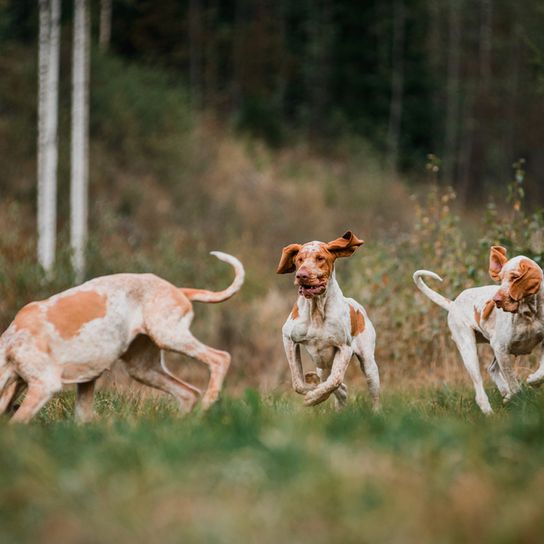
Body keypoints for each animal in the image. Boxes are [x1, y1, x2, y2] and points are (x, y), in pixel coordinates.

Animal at [0, 253, 244, 422]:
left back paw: (207, 405)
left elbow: (17, 422)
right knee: (188, 393)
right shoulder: (85, 380)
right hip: (142, 368)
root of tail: (178, 290)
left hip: (170, 337)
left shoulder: (44, 385)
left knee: (220, 358)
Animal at [276, 232, 378, 410]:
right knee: (339, 388)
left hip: (368, 365)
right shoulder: (288, 339)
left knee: (368, 394)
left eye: (320, 258)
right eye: (299, 259)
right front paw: (312, 390)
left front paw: (313, 397)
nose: (301, 275)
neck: (316, 309)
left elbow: (335, 381)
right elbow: (298, 383)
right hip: (323, 366)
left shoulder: (344, 348)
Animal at [412, 244, 544, 414]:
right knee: (480, 389)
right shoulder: (501, 348)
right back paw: (489, 411)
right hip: (470, 351)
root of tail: (453, 304)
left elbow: (541, 371)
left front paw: (534, 380)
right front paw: (520, 401)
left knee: (491, 369)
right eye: (500, 279)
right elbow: (514, 384)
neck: (529, 314)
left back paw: (505, 394)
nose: (496, 300)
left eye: (515, 277)